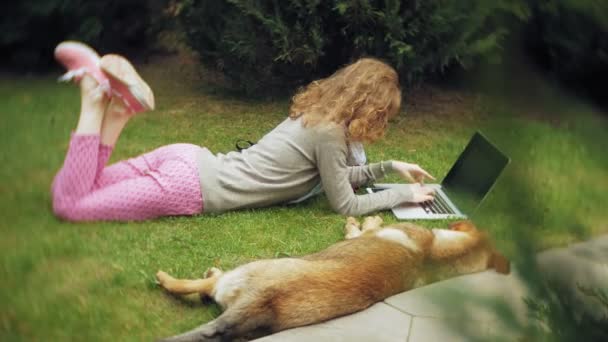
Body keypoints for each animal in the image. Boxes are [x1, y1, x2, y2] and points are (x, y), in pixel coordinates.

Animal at [156, 218, 508, 340]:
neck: (435, 254)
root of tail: (260, 303)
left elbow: (362, 228)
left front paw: (363, 221)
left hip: (246, 270)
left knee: (198, 286)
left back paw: (166, 276)